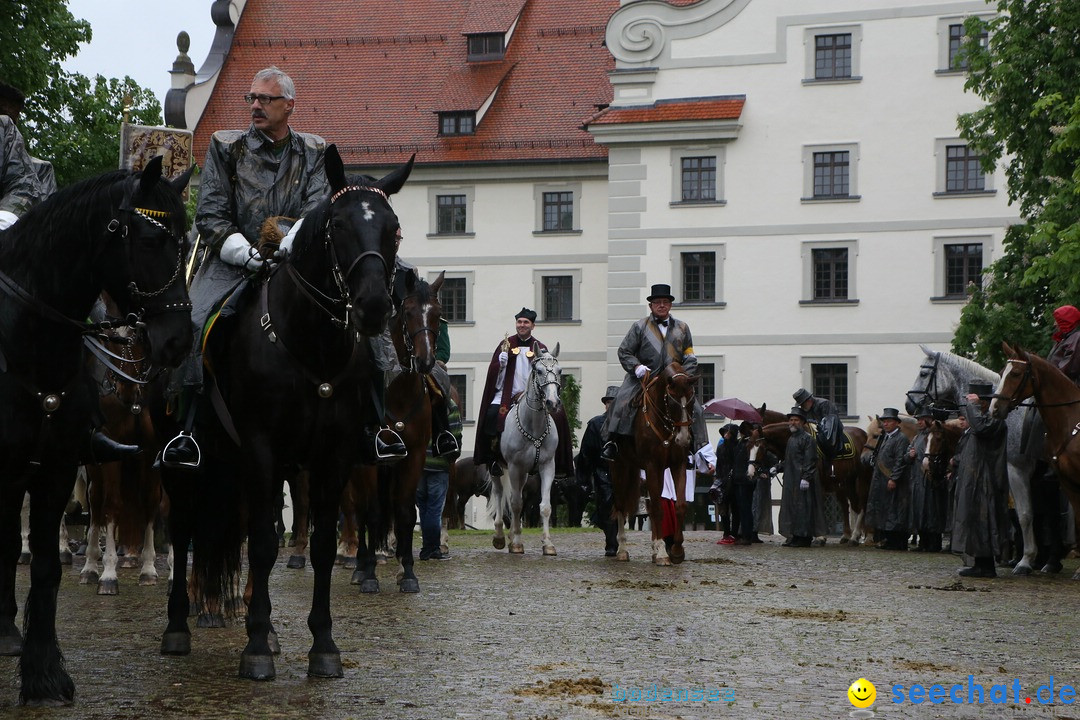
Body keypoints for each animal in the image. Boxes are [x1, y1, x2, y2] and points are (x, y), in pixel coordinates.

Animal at [0, 157, 192, 703]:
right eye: (149, 240)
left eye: (186, 239)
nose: (179, 341)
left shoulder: (60, 465)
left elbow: (47, 564)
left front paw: (44, 674)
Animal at [157, 144, 410, 682]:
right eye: (339, 224)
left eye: (394, 227)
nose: (374, 306)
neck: (309, 346)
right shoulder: (262, 450)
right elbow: (263, 545)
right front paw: (254, 648)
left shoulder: (332, 459)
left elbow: (319, 547)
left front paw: (323, 646)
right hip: (186, 466)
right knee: (184, 528)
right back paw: (179, 627)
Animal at [488, 343, 561, 557]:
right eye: (539, 371)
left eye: (560, 371)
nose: (552, 403)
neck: (533, 426)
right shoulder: (514, 467)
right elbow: (516, 504)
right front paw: (517, 543)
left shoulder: (547, 466)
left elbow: (545, 507)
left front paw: (548, 544)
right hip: (496, 468)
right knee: (499, 493)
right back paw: (500, 536)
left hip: (524, 474)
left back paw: (512, 534)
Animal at [613, 362, 695, 565]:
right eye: (672, 401)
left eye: (691, 399)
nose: (683, 439)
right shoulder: (651, 466)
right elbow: (658, 509)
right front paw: (664, 553)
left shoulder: (678, 464)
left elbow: (679, 506)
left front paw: (676, 550)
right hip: (619, 467)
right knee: (620, 505)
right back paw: (622, 549)